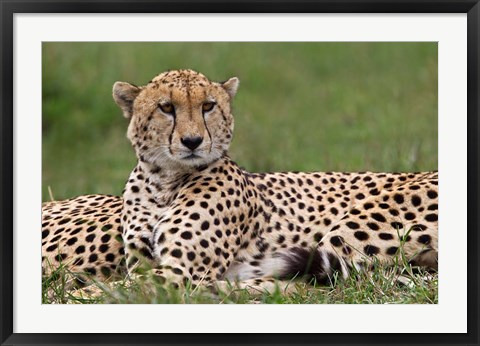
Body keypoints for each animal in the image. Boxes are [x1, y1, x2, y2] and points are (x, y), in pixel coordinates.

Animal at [42, 69, 438, 294]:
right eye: (166, 107)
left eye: (208, 106)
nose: (192, 141)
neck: (164, 181)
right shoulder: (145, 260)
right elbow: (129, 282)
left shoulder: (180, 269)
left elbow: (119, 290)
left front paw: (82, 295)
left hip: (351, 228)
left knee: (314, 282)